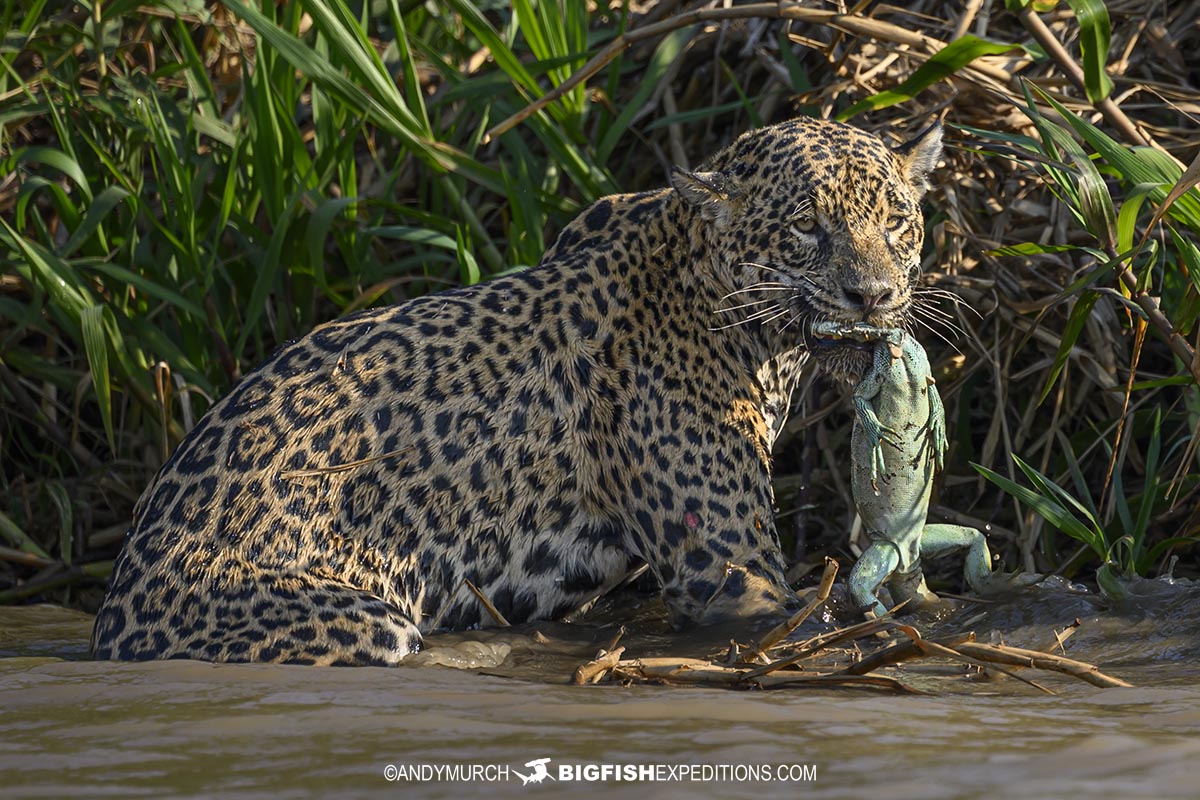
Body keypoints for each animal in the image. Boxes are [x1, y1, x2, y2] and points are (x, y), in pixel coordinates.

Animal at [90, 116, 943, 666]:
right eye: (805, 228)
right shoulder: (731, 574)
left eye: (897, 223)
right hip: (355, 621)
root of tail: (109, 618)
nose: (874, 296)